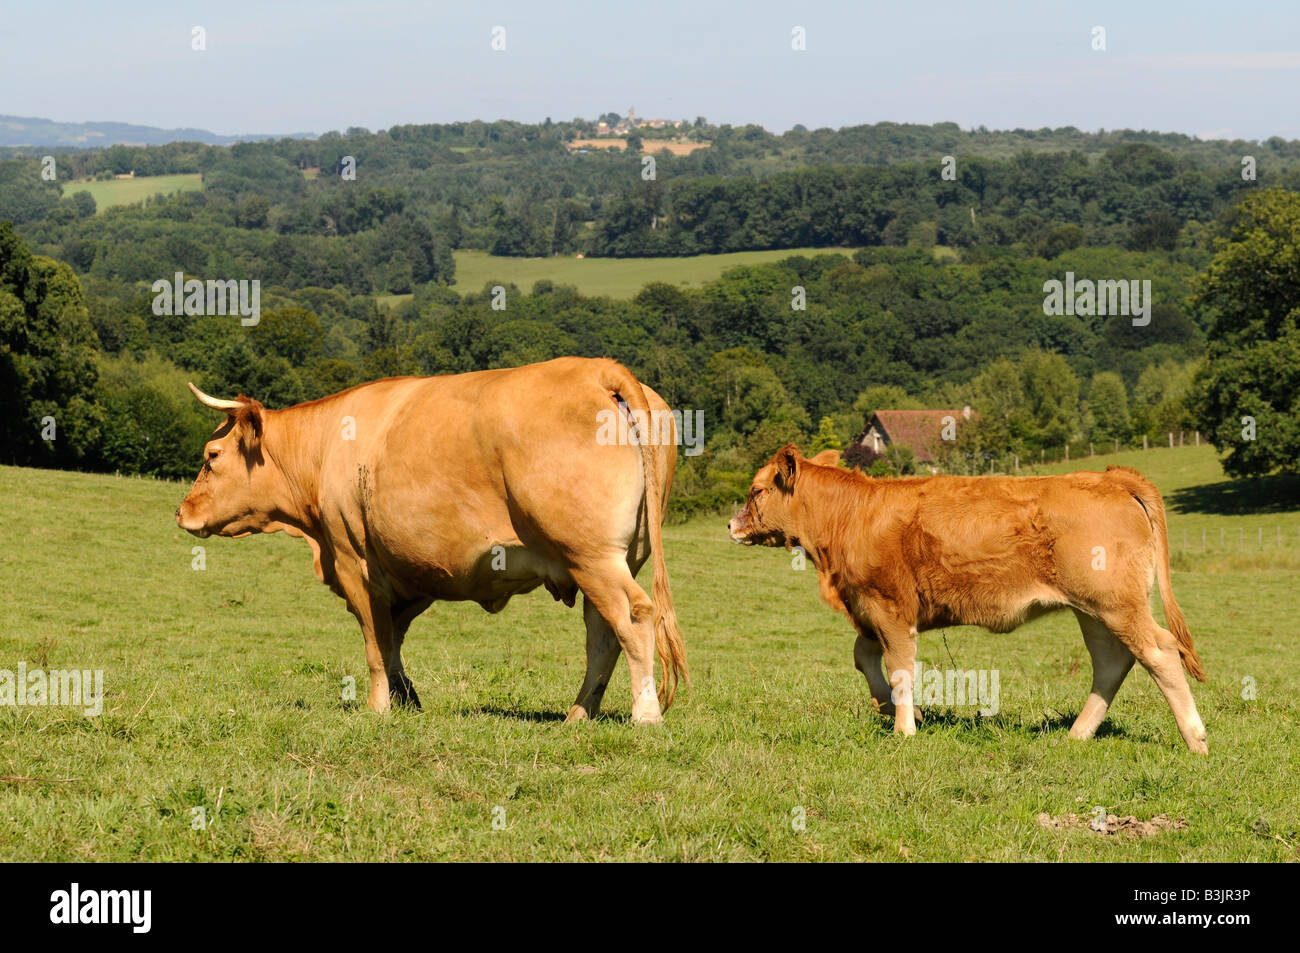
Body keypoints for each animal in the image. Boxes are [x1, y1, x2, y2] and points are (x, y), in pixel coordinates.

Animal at [183, 356, 696, 722]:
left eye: (212, 455)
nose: (182, 511)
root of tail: (599, 369)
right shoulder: (410, 572)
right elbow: (392, 640)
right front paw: (407, 699)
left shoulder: (353, 560)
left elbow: (375, 642)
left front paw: (378, 708)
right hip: (612, 560)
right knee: (603, 636)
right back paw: (578, 714)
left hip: (591, 556)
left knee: (634, 617)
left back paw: (645, 715)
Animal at [733, 444, 1206, 748]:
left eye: (756, 490)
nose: (731, 524)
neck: (852, 515)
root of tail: (1107, 476)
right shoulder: (869, 606)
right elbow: (863, 656)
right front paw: (895, 709)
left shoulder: (889, 606)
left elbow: (900, 667)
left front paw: (904, 730)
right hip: (1093, 611)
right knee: (1113, 662)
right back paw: (1077, 734)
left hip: (1116, 604)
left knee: (1160, 652)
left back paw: (1195, 739)